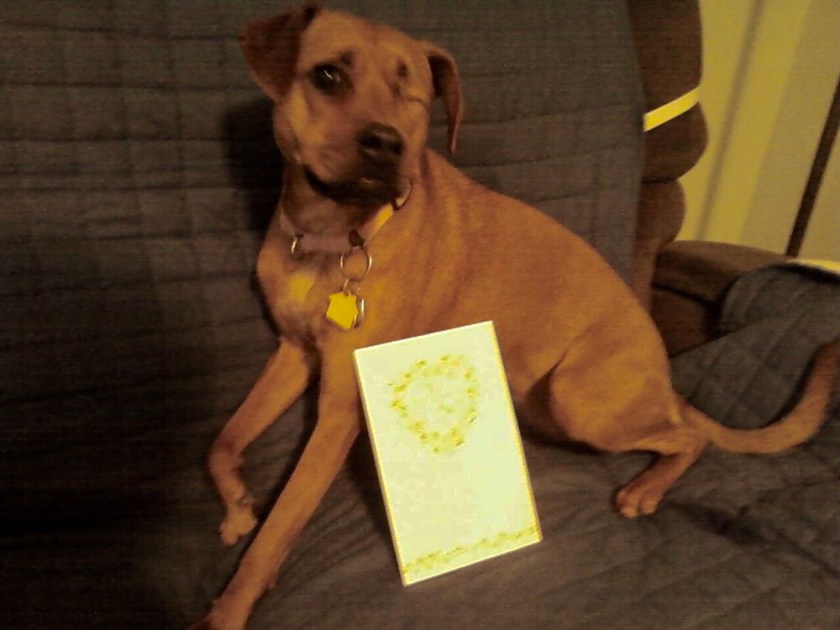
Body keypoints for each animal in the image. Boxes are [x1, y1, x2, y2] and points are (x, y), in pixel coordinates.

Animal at [192, 5, 839, 628]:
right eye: (327, 76)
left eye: (411, 92)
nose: (385, 143)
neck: (335, 235)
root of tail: (664, 379)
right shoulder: (294, 353)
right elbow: (224, 441)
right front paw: (239, 506)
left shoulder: (340, 408)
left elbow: (279, 526)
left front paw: (230, 608)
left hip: (582, 398)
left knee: (690, 437)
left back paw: (647, 488)